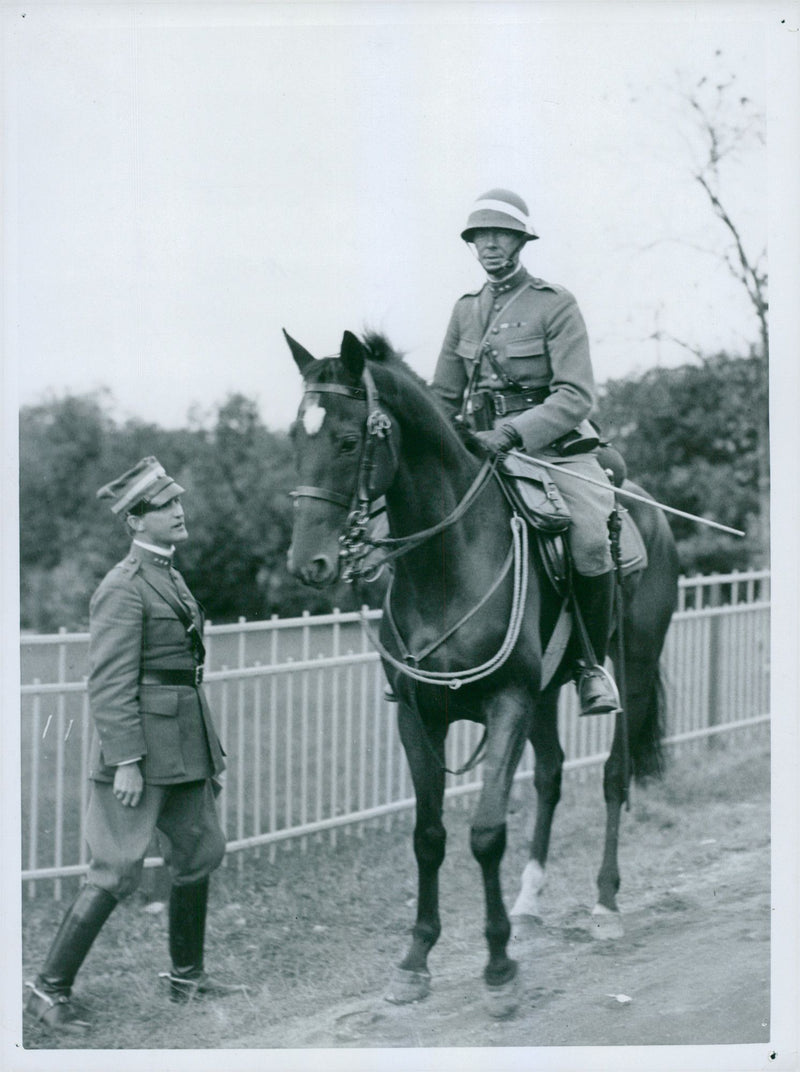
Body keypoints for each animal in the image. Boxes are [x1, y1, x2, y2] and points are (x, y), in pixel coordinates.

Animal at [283, 325, 677, 1011]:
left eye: (348, 440)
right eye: (293, 437)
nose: (308, 564)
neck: (448, 561)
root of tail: (647, 505)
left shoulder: (507, 703)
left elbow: (487, 831)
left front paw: (498, 966)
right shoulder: (420, 716)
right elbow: (429, 835)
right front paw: (415, 958)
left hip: (631, 664)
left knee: (614, 775)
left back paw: (605, 903)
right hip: (546, 694)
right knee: (549, 776)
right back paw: (529, 901)